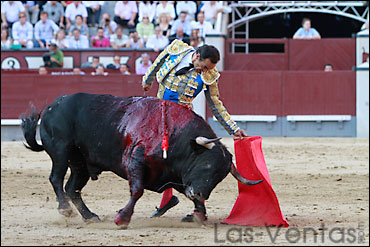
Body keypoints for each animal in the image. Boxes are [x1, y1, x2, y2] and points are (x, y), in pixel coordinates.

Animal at [21, 93, 264, 228]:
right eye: (206, 165)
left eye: (220, 177)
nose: (200, 193)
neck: (175, 137)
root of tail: (53, 106)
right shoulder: (135, 162)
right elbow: (137, 191)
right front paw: (122, 219)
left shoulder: (176, 176)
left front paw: (198, 215)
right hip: (61, 151)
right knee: (56, 178)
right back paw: (65, 209)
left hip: (81, 164)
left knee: (73, 188)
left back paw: (90, 216)